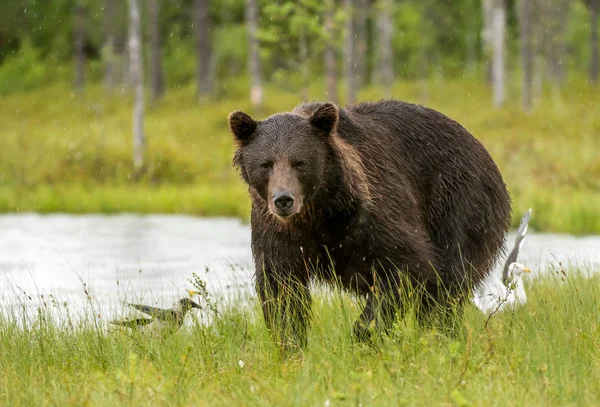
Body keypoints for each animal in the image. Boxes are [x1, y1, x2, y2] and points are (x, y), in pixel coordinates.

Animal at [227, 99, 508, 348]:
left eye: (299, 162)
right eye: (266, 164)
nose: (283, 199)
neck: (319, 212)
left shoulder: (371, 216)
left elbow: (408, 265)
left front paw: (365, 333)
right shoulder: (276, 231)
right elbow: (282, 287)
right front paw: (291, 344)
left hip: (460, 202)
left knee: (449, 280)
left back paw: (440, 335)